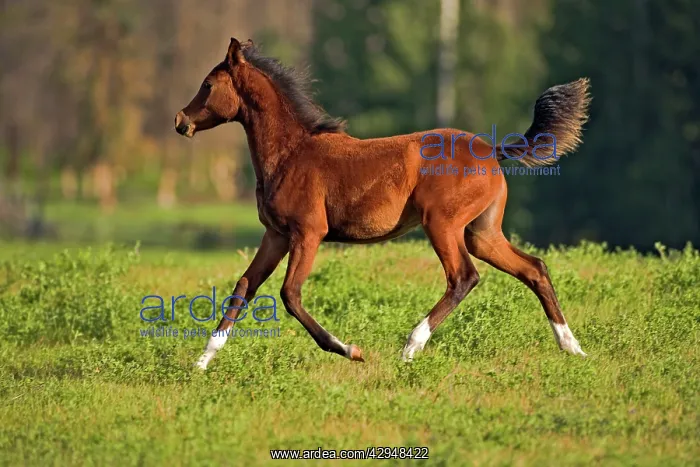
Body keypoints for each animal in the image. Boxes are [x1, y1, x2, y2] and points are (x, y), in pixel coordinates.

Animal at [175, 38, 591, 370]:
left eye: (208, 85)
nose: (181, 120)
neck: (292, 153)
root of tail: (491, 150)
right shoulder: (275, 235)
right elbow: (244, 287)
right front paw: (202, 361)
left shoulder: (308, 233)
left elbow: (290, 295)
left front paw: (350, 350)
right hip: (482, 232)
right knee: (534, 268)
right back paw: (572, 347)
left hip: (442, 224)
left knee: (463, 277)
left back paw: (410, 347)